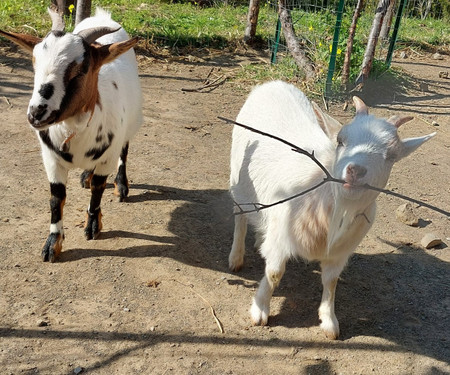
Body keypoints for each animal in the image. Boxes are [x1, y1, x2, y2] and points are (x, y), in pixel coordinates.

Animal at [0, 8, 142, 262]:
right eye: (34, 64)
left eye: (81, 69)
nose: (36, 113)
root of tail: (102, 16)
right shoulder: (51, 160)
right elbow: (57, 199)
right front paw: (52, 244)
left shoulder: (107, 158)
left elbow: (98, 189)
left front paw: (93, 225)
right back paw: (85, 175)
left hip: (131, 123)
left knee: (124, 151)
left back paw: (121, 185)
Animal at [230, 81, 434, 340]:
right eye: (340, 140)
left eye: (392, 155)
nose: (355, 170)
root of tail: (273, 83)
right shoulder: (281, 240)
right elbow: (275, 272)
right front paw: (260, 310)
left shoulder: (340, 252)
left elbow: (331, 281)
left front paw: (329, 322)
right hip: (238, 176)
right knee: (240, 215)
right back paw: (236, 257)